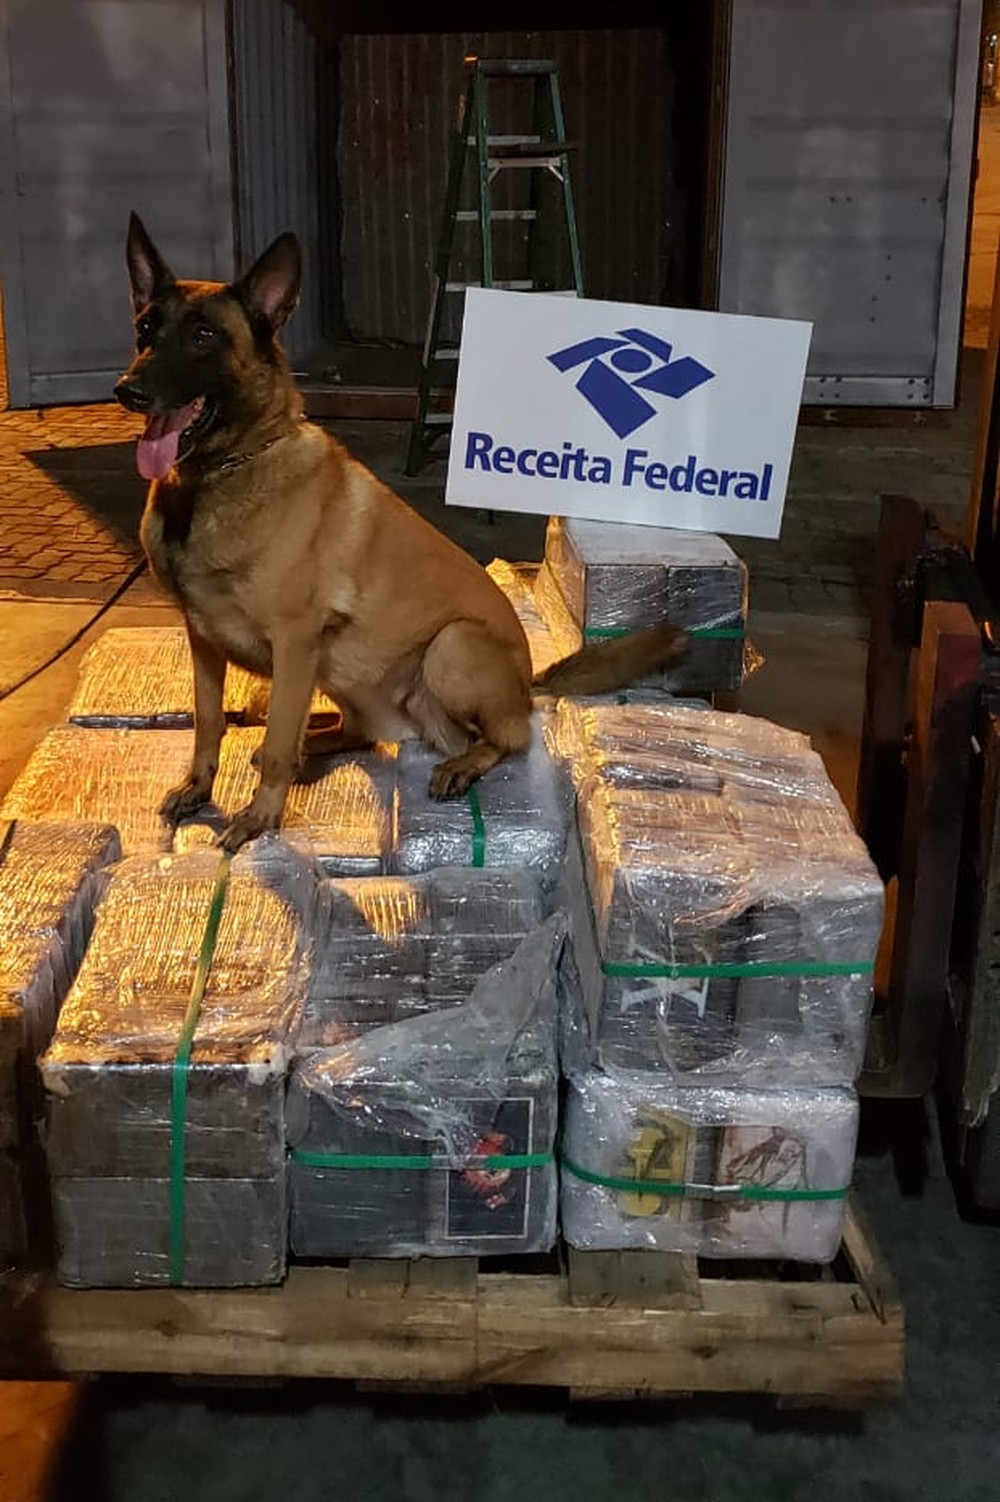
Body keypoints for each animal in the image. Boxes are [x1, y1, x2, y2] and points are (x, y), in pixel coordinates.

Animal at [112, 213, 684, 853]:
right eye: (146, 329)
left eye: (204, 336)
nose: (127, 389)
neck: (222, 472)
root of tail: (525, 685)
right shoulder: (204, 639)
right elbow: (208, 722)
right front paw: (200, 787)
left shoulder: (294, 641)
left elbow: (278, 745)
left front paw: (260, 817)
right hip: (339, 669)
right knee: (357, 730)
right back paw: (320, 737)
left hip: (450, 646)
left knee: (509, 738)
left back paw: (458, 760)